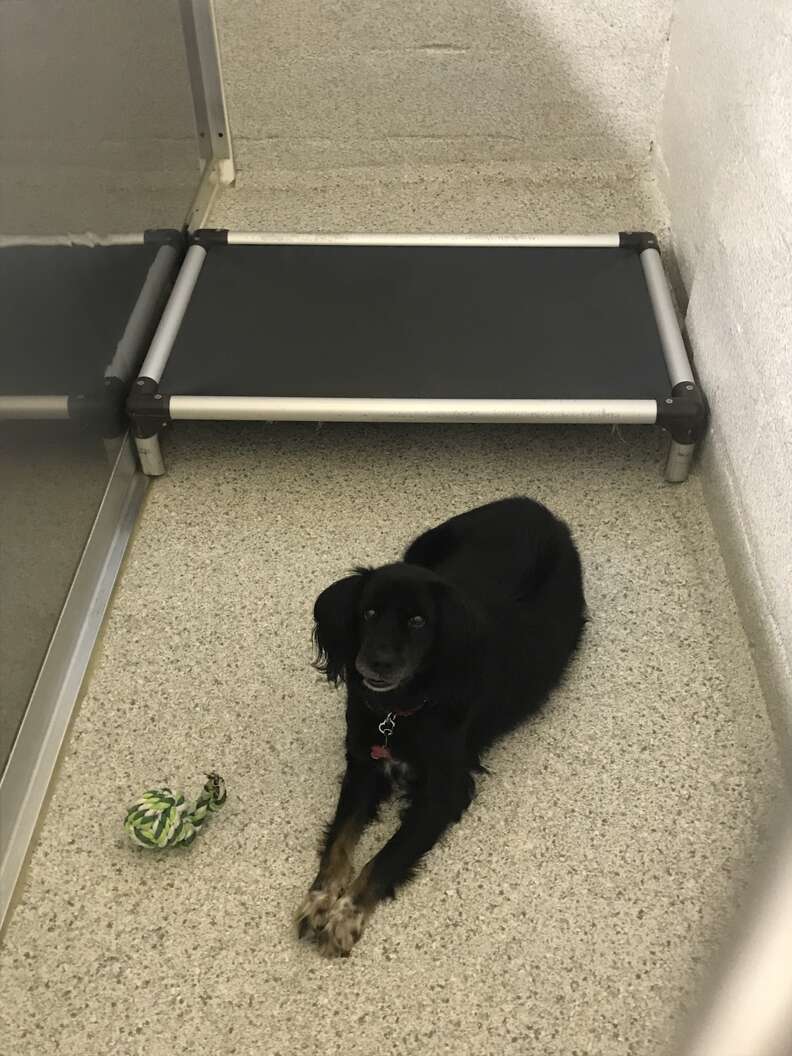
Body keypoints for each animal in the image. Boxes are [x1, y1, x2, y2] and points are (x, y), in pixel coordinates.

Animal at [295, 496, 587, 958]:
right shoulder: (363, 763)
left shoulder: (444, 791)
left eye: (418, 621)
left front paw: (345, 915)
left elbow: (387, 856)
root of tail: (534, 504)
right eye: (368, 612)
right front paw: (320, 899)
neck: (399, 711)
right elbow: (340, 840)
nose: (376, 662)